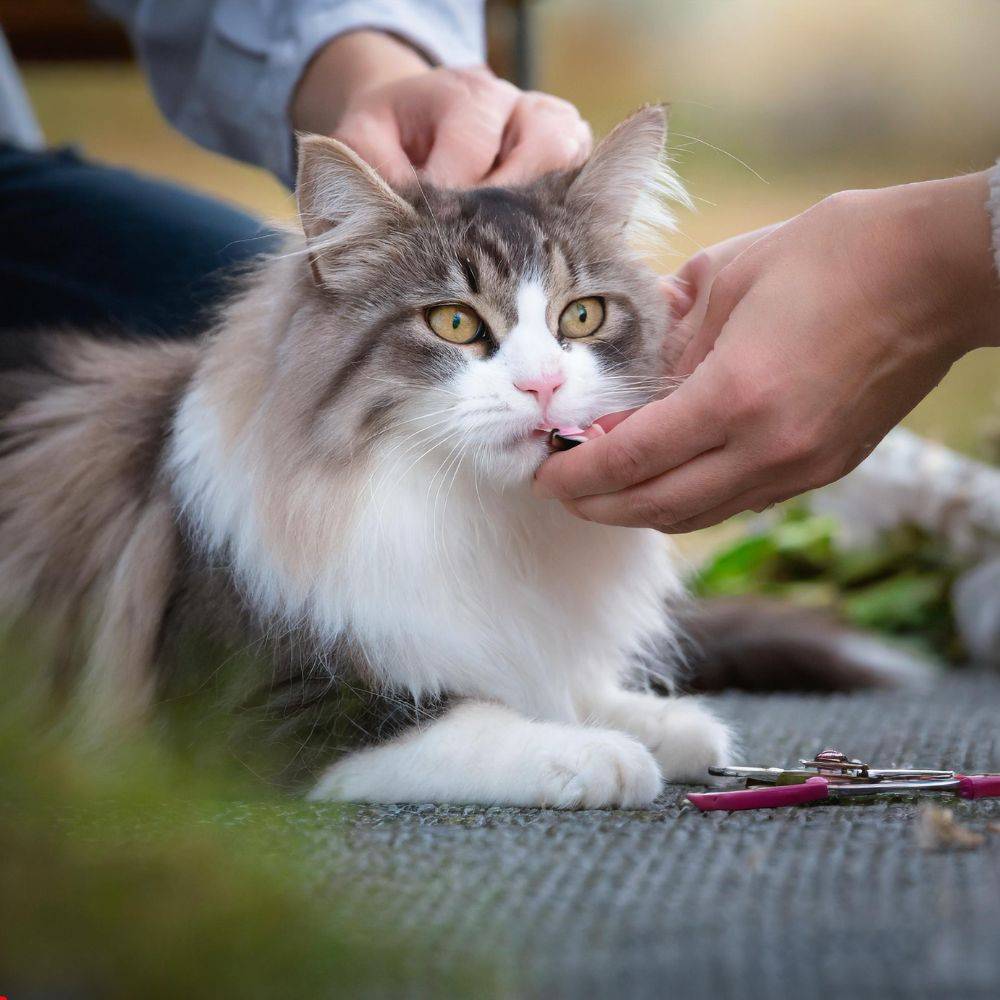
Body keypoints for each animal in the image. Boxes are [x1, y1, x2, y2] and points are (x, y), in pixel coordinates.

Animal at [0, 109, 920, 808]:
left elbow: (560, 683)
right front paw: (596, 752)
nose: (544, 384)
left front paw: (654, 720)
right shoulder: (255, 714)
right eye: (454, 323)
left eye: (581, 317)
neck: (472, 513)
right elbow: (458, 719)